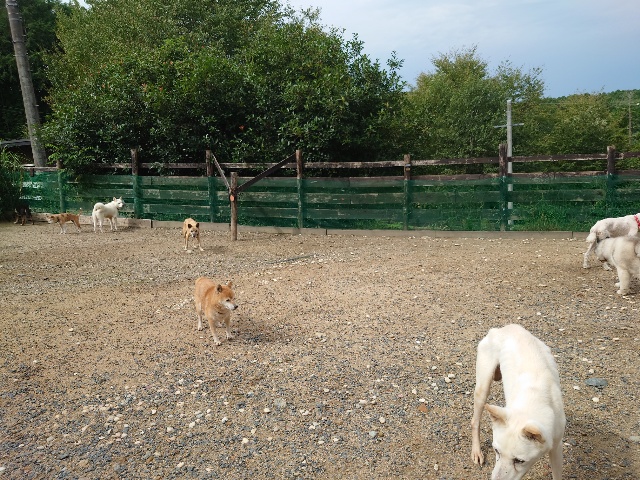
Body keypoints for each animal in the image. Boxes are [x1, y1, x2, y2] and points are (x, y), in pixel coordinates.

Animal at [471, 324, 565, 480]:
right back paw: (477, 451)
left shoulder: (557, 447)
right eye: (496, 450)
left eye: (519, 461)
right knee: (475, 421)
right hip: (483, 387)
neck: (533, 399)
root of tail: (503, 328)